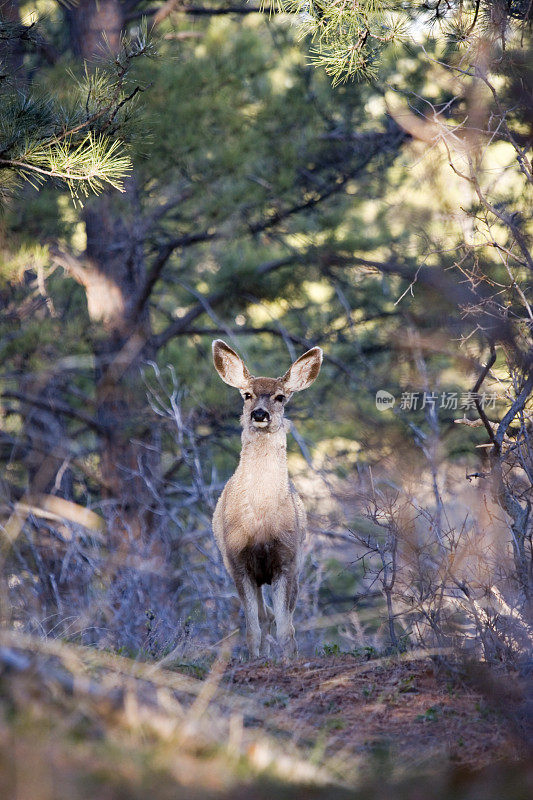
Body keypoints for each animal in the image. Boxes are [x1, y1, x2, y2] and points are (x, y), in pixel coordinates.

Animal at [210, 340, 322, 660]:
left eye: (280, 397)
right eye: (247, 394)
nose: (259, 414)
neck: (260, 520)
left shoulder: (287, 558)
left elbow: (286, 627)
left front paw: (288, 660)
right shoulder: (237, 560)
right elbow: (253, 627)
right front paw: (255, 658)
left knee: (279, 617)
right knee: (264, 616)